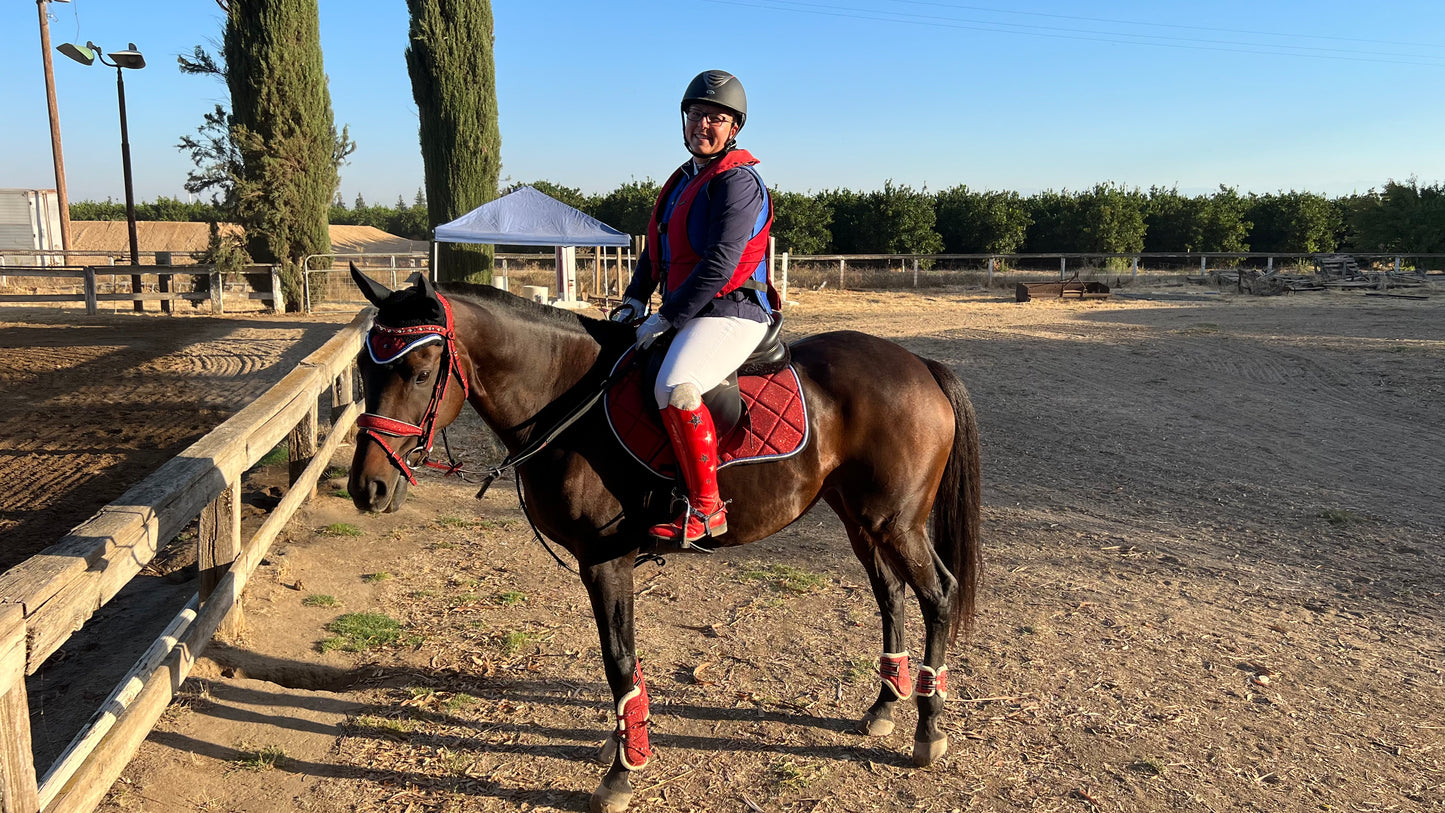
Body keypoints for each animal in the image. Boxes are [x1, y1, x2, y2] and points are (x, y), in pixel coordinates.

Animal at [349, 270, 982, 808]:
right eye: (364, 368)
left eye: (420, 372)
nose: (367, 488)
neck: (568, 401)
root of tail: (919, 364)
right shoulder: (607, 566)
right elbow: (621, 662)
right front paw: (625, 742)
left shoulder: (606, 562)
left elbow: (619, 663)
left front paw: (623, 772)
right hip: (860, 520)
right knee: (891, 596)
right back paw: (885, 705)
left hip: (896, 523)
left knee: (938, 595)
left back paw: (928, 728)